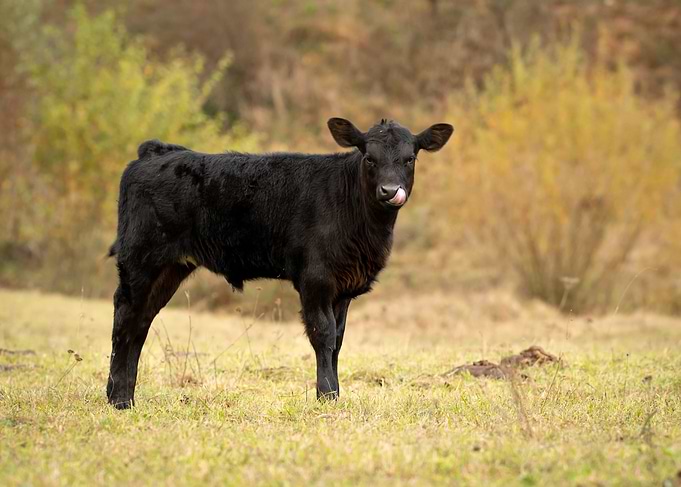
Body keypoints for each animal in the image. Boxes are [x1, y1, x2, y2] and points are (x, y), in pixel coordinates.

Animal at [106, 117, 454, 408]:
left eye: (409, 159)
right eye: (370, 158)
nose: (390, 191)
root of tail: (156, 152)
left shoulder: (343, 286)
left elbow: (338, 340)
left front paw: (335, 393)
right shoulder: (315, 278)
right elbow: (323, 333)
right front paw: (327, 395)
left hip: (170, 267)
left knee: (141, 322)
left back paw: (122, 395)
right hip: (141, 259)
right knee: (125, 318)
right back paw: (120, 400)